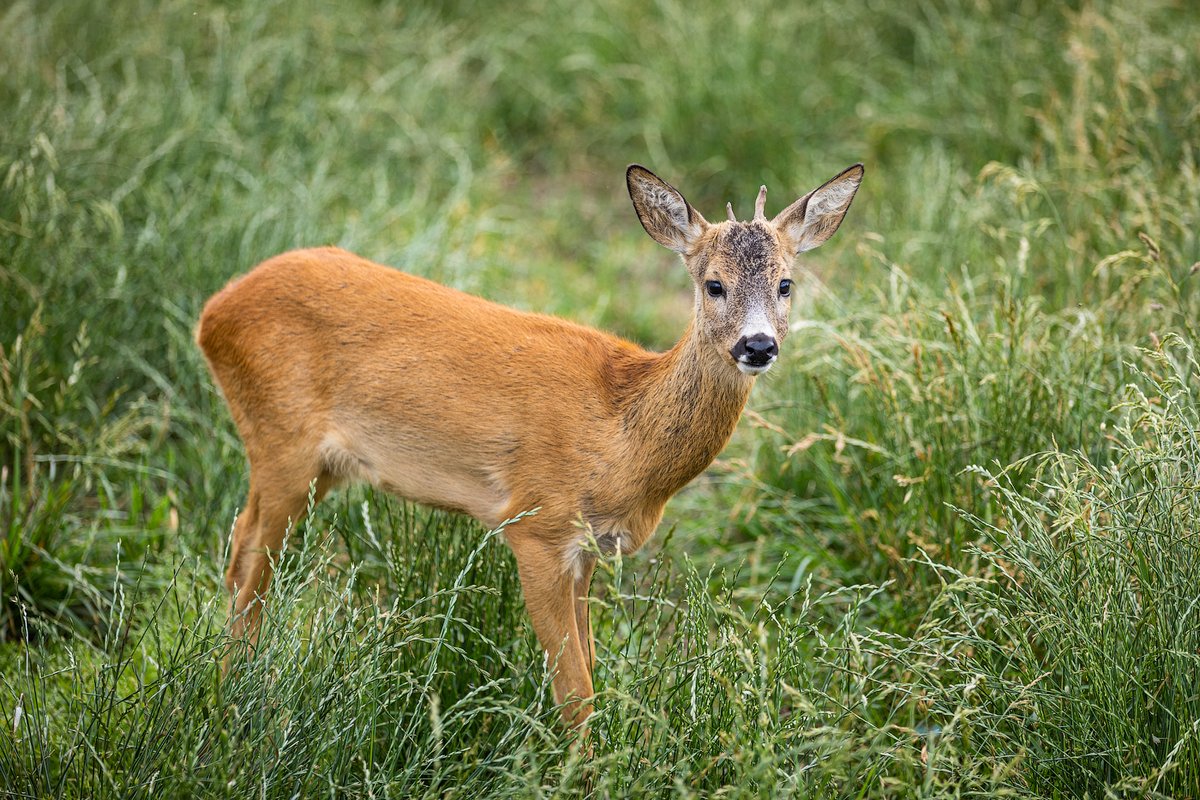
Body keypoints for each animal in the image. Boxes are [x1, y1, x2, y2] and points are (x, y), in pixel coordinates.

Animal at [201, 163, 868, 724]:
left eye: (786, 284)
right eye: (713, 285)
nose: (758, 345)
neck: (621, 439)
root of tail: (211, 312)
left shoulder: (587, 549)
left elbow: (592, 664)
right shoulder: (536, 525)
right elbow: (574, 689)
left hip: (319, 465)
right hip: (281, 439)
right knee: (247, 558)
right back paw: (236, 699)